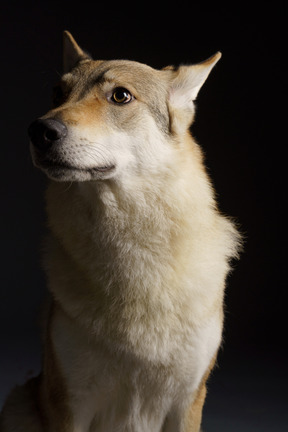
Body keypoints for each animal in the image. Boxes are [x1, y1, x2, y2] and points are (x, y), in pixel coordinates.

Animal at [0, 31, 240, 432]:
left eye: (121, 96)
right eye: (57, 93)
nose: (39, 131)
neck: (132, 243)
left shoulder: (188, 402)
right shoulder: (71, 405)